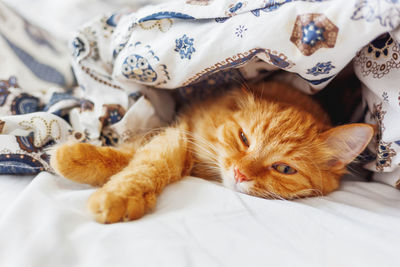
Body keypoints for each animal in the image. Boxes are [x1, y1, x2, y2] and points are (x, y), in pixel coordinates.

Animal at [50, 81, 376, 224]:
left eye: (284, 169)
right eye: (244, 139)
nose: (240, 173)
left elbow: (146, 164)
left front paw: (118, 196)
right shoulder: (182, 131)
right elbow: (145, 157)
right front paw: (77, 157)